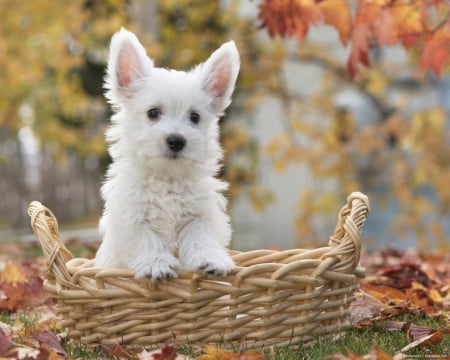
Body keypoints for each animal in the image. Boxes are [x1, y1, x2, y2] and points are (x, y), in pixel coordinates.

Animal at [95, 28, 241, 282]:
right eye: (153, 112)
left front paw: (212, 260)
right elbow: (147, 239)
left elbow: (200, 236)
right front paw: (157, 264)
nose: (176, 141)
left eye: (195, 117)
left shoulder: (201, 213)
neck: (167, 178)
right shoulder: (131, 215)